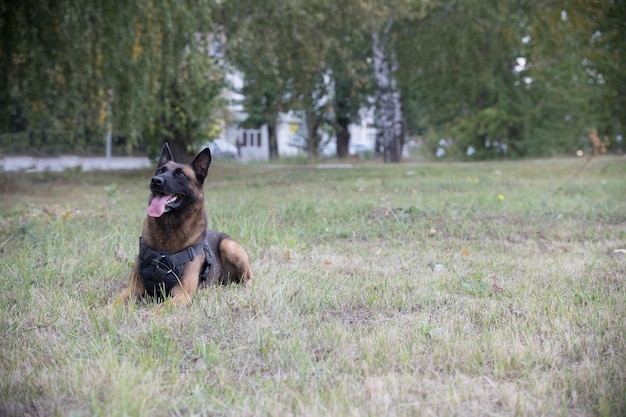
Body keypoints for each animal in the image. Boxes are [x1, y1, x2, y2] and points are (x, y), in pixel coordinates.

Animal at [114, 143, 251, 306]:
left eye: (181, 175)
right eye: (160, 171)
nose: (156, 180)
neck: (168, 228)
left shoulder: (182, 294)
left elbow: (159, 309)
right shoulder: (133, 288)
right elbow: (115, 302)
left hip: (229, 246)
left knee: (248, 279)